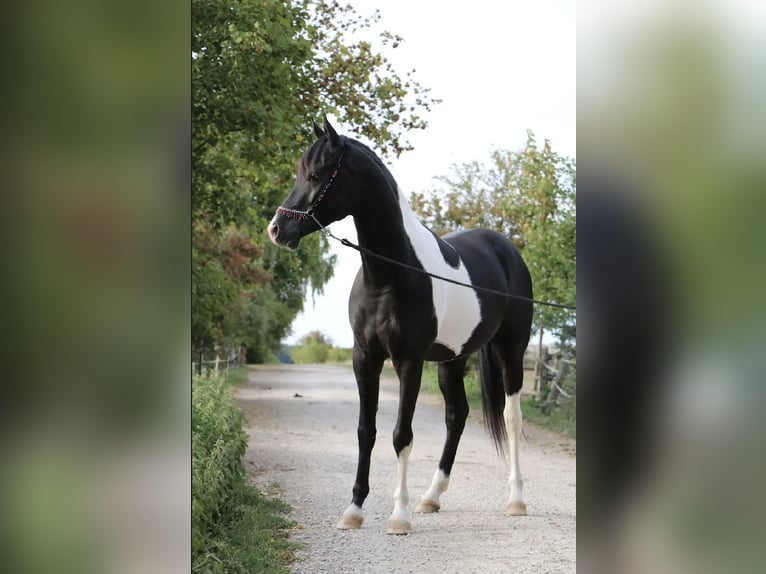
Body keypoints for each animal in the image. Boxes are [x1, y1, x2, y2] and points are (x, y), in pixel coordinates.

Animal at [268, 116, 533, 535]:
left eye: (316, 174)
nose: (277, 229)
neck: (389, 275)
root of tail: (505, 249)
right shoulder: (365, 358)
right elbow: (366, 431)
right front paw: (354, 509)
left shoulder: (408, 360)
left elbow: (401, 434)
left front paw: (398, 516)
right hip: (452, 359)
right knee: (457, 415)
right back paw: (431, 497)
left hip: (512, 351)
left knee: (511, 417)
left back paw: (516, 500)